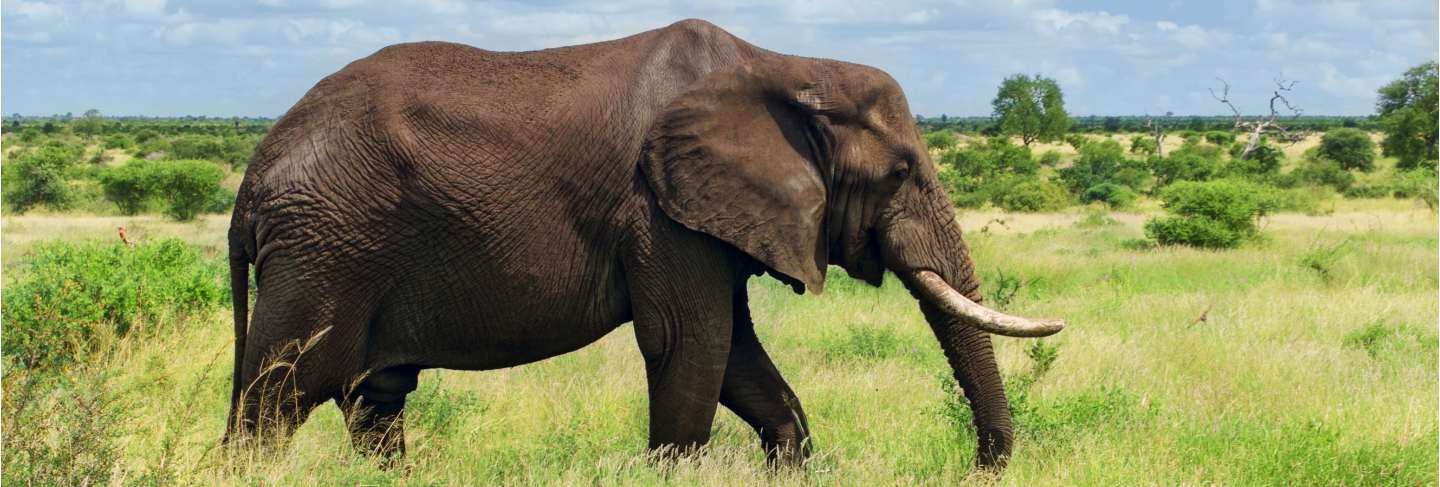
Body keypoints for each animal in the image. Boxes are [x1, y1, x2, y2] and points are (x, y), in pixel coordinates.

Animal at [224, 18, 1059, 472]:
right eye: (902, 172)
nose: (978, 466)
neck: (788, 66)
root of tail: (253, 175)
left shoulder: (700, 216)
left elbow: (740, 361)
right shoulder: (659, 209)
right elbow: (691, 344)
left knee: (375, 400)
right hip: (325, 249)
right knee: (274, 398)